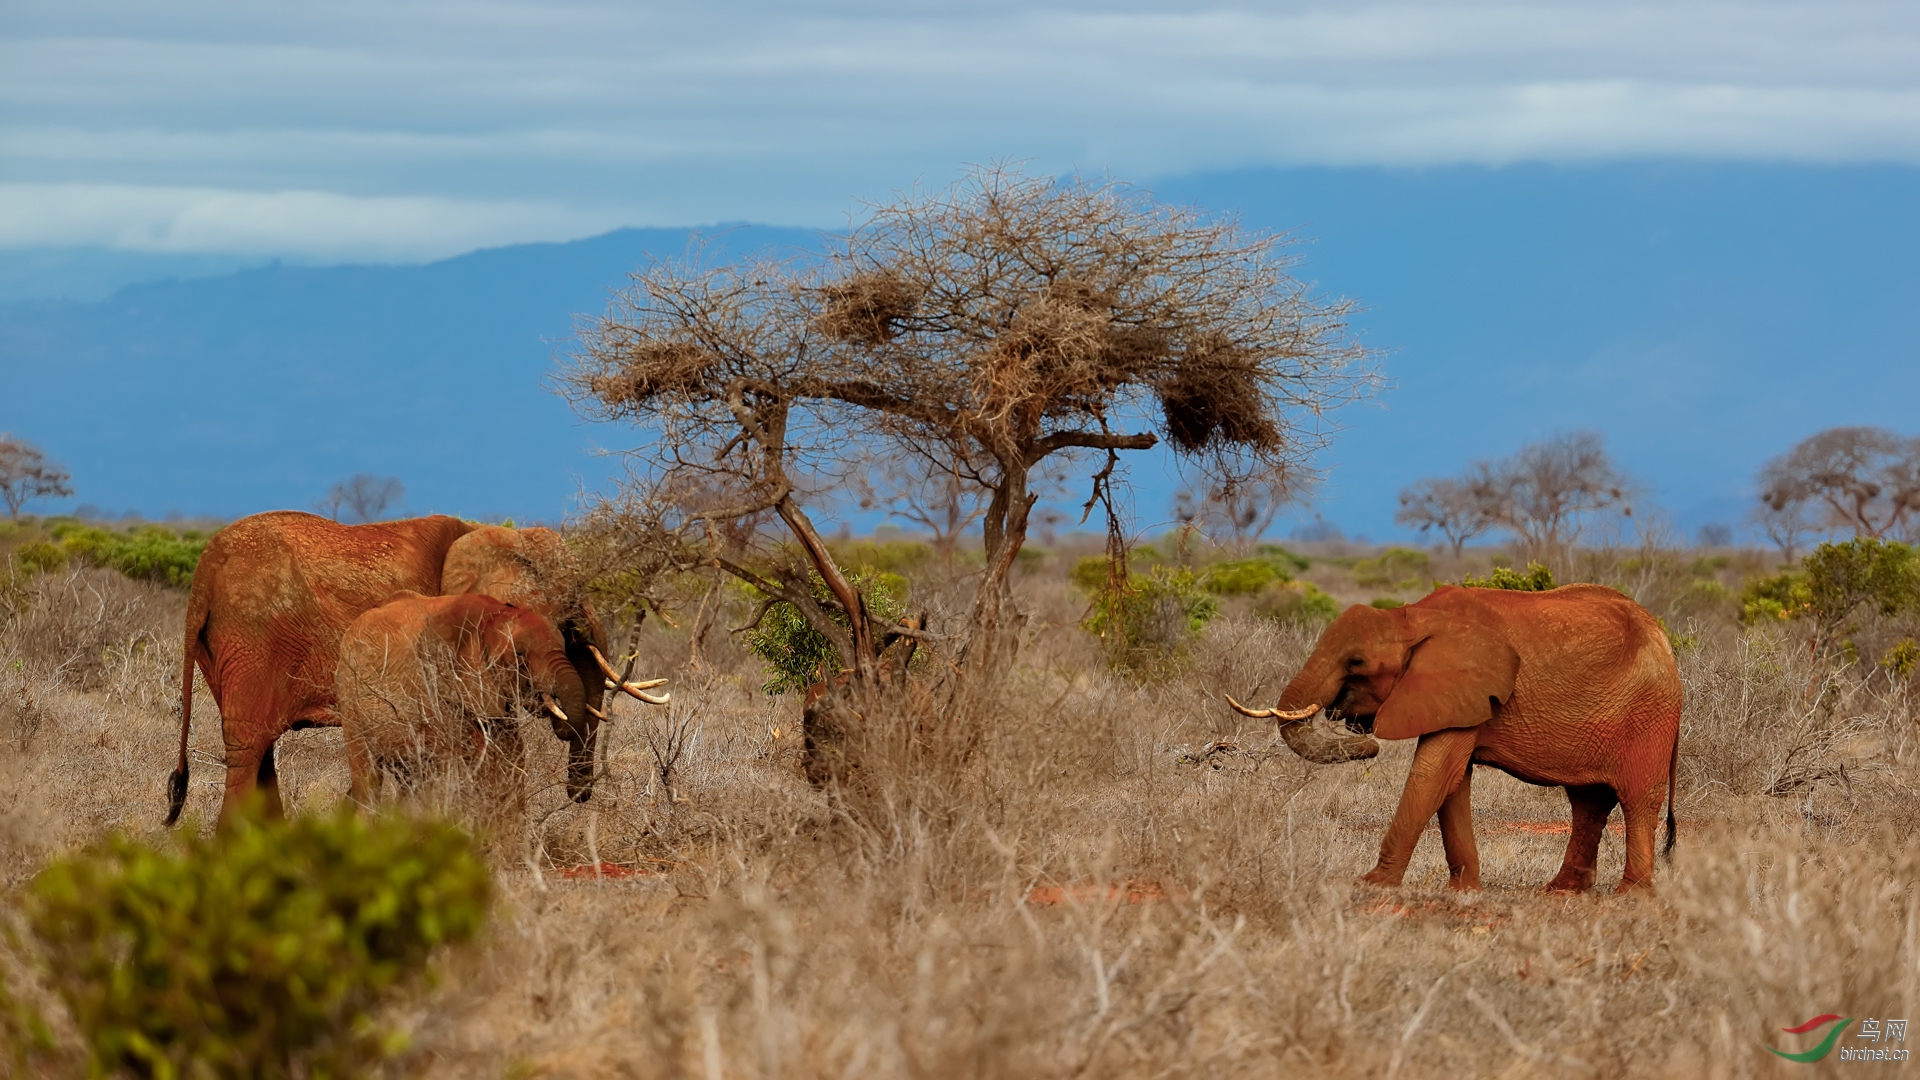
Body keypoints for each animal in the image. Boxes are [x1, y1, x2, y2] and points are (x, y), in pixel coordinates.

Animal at [335, 592, 588, 817]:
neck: (491, 615)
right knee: (367, 774)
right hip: (349, 696)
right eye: (519, 655)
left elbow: (509, 758)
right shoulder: (435, 688)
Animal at [1227, 584, 1682, 893]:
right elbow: (1452, 780)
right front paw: (1465, 891)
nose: (1367, 742)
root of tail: (1663, 637)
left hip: (1649, 712)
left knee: (1637, 798)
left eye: (1356, 663)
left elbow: (1433, 773)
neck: (1410, 617)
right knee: (1588, 802)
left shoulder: (1464, 687)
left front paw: (1370, 885)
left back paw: (1630, 895)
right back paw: (1562, 891)